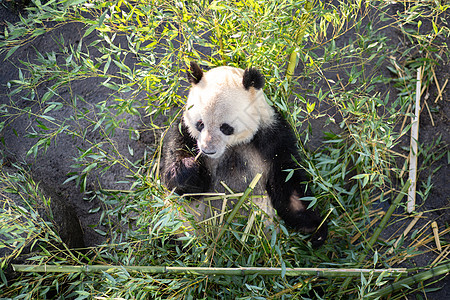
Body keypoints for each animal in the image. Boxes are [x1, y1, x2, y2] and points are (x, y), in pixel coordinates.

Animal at [161, 62, 326, 247]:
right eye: (200, 124)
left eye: (225, 127)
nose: (207, 150)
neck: (232, 146)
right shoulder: (183, 132)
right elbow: (180, 183)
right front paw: (187, 168)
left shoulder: (272, 135)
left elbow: (287, 179)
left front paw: (315, 228)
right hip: (182, 227)